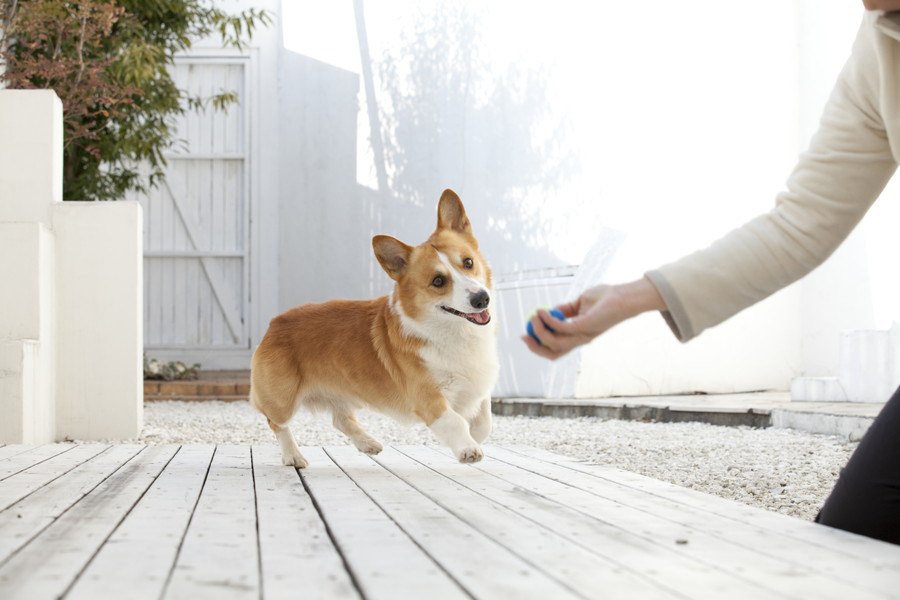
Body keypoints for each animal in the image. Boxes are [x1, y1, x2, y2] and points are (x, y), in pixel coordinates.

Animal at [248, 190, 500, 466]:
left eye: (468, 262)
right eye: (438, 281)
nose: (482, 299)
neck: (455, 332)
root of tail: (274, 322)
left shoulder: (479, 387)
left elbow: (484, 420)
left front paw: (475, 436)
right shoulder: (429, 398)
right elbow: (455, 422)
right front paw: (468, 448)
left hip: (342, 394)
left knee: (341, 419)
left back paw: (368, 443)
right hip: (283, 398)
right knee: (276, 422)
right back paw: (293, 455)